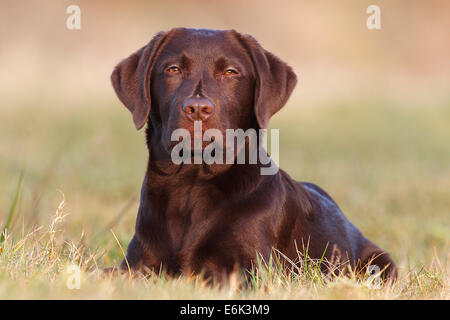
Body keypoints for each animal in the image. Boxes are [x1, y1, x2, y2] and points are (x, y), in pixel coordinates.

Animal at [110, 28, 396, 282]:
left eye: (230, 72)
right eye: (173, 70)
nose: (198, 109)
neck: (192, 181)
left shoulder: (255, 269)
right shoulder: (137, 262)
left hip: (379, 263)